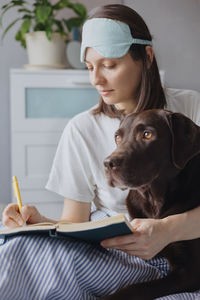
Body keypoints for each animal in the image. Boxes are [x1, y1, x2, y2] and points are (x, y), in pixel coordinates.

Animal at [102, 109, 200, 300]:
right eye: (118, 137)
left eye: (147, 134)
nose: (108, 163)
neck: (155, 200)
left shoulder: (190, 272)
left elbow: (138, 288)